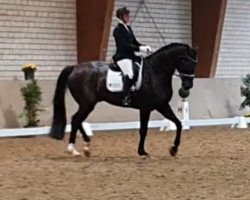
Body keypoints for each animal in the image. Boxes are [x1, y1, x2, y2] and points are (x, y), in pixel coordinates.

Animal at [48, 43, 197, 157]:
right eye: (185, 60)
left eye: (195, 63)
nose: (188, 86)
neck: (155, 73)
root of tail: (75, 68)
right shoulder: (146, 108)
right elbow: (143, 130)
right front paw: (142, 152)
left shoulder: (162, 105)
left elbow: (178, 123)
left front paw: (174, 149)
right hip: (87, 103)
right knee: (76, 120)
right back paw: (73, 149)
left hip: (87, 104)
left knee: (77, 120)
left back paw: (86, 147)